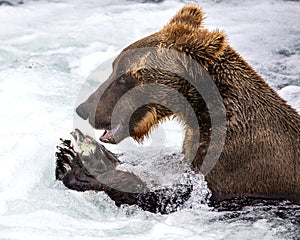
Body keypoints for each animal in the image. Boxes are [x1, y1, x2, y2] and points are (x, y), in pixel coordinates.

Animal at [71, 4, 298, 205]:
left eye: (125, 76)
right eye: (114, 67)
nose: (84, 108)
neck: (201, 112)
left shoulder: (237, 166)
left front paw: (86, 169)